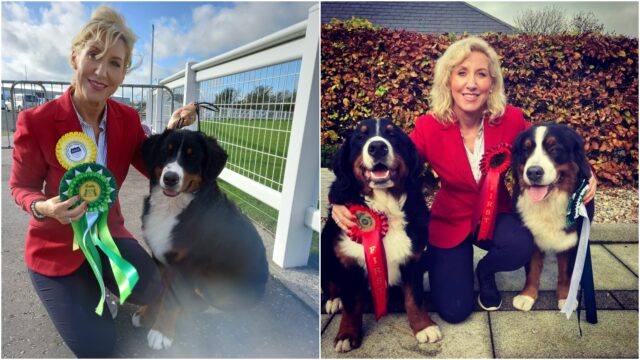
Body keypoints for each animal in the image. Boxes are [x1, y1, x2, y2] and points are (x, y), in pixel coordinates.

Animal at [134, 129, 268, 348]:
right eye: (165, 151)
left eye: (192, 157)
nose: (170, 178)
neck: (172, 207)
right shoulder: (160, 258)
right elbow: (159, 292)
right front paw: (147, 316)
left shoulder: (188, 264)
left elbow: (170, 301)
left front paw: (161, 332)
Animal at [322, 117, 442, 352]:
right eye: (360, 137)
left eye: (392, 134)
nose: (377, 147)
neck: (383, 207)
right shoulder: (348, 261)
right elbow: (351, 304)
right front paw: (346, 334)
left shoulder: (413, 257)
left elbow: (414, 298)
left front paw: (423, 327)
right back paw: (333, 299)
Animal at [510, 124, 596, 312]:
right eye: (526, 150)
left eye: (555, 149)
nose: (533, 172)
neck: (548, 203)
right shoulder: (532, 238)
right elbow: (533, 269)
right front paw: (527, 296)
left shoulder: (571, 239)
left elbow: (566, 272)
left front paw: (565, 298)